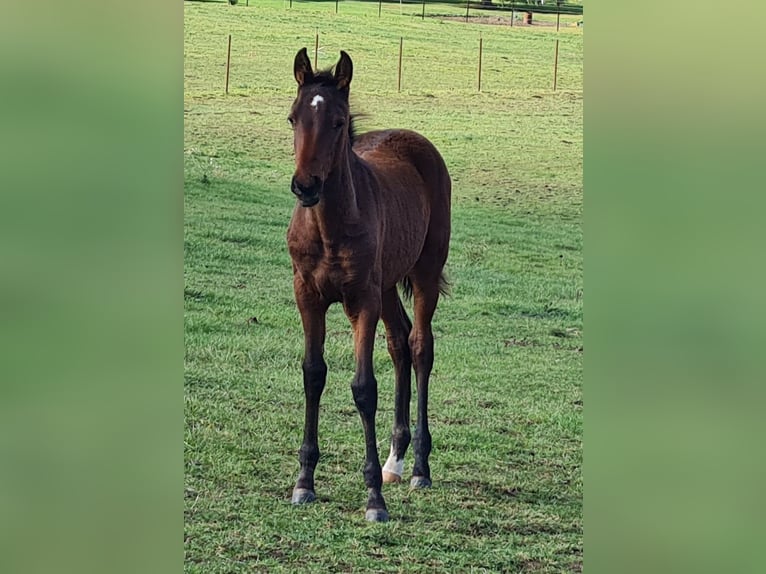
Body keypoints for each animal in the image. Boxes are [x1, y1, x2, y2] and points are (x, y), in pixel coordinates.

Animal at [288, 49, 450, 524]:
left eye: (339, 121)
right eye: (293, 118)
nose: (305, 186)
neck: (329, 226)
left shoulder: (361, 301)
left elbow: (363, 388)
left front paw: (373, 498)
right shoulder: (308, 296)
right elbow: (313, 374)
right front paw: (304, 482)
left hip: (424, 270)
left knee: (420, 346)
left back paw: (418, 467)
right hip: (388, 284)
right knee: (399, 342)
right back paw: (395, 459)